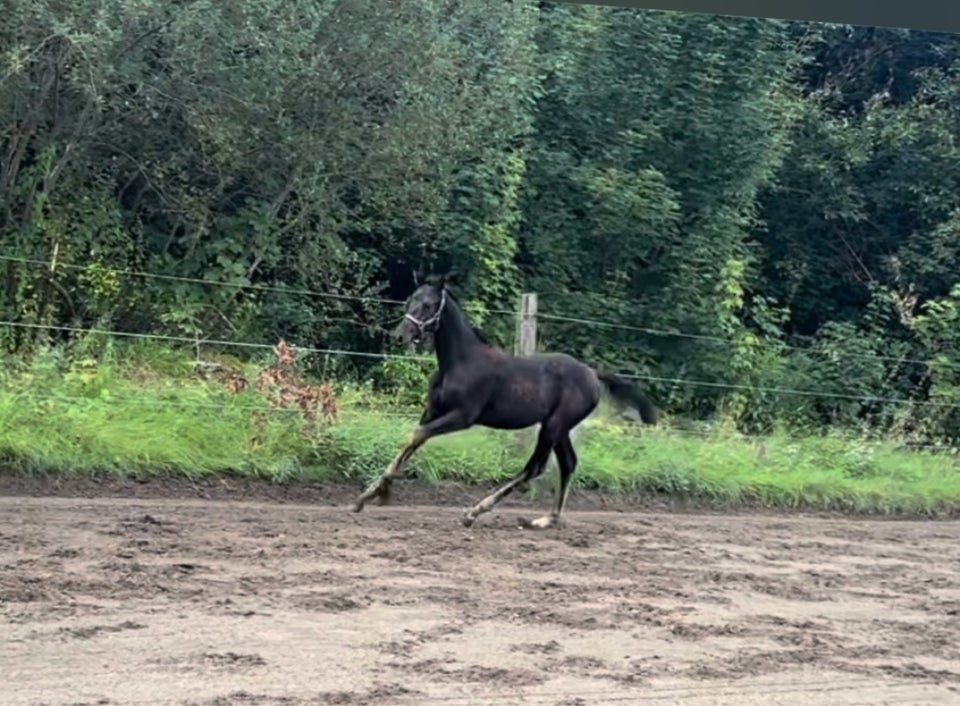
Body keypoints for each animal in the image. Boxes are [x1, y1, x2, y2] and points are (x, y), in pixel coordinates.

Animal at [352, 278, 660, 524]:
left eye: (428, 305)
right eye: (411, 300)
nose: (400, 336)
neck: (460, 361)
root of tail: (593, 374)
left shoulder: (462, 417)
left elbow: (416, 435)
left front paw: (379, 491)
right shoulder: (432, 410)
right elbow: (413, 439)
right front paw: (372, 495)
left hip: (554, 425)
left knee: (534, 468)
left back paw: (475, 512)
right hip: (558, 427)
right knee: (568, 463)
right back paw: (547, 519)